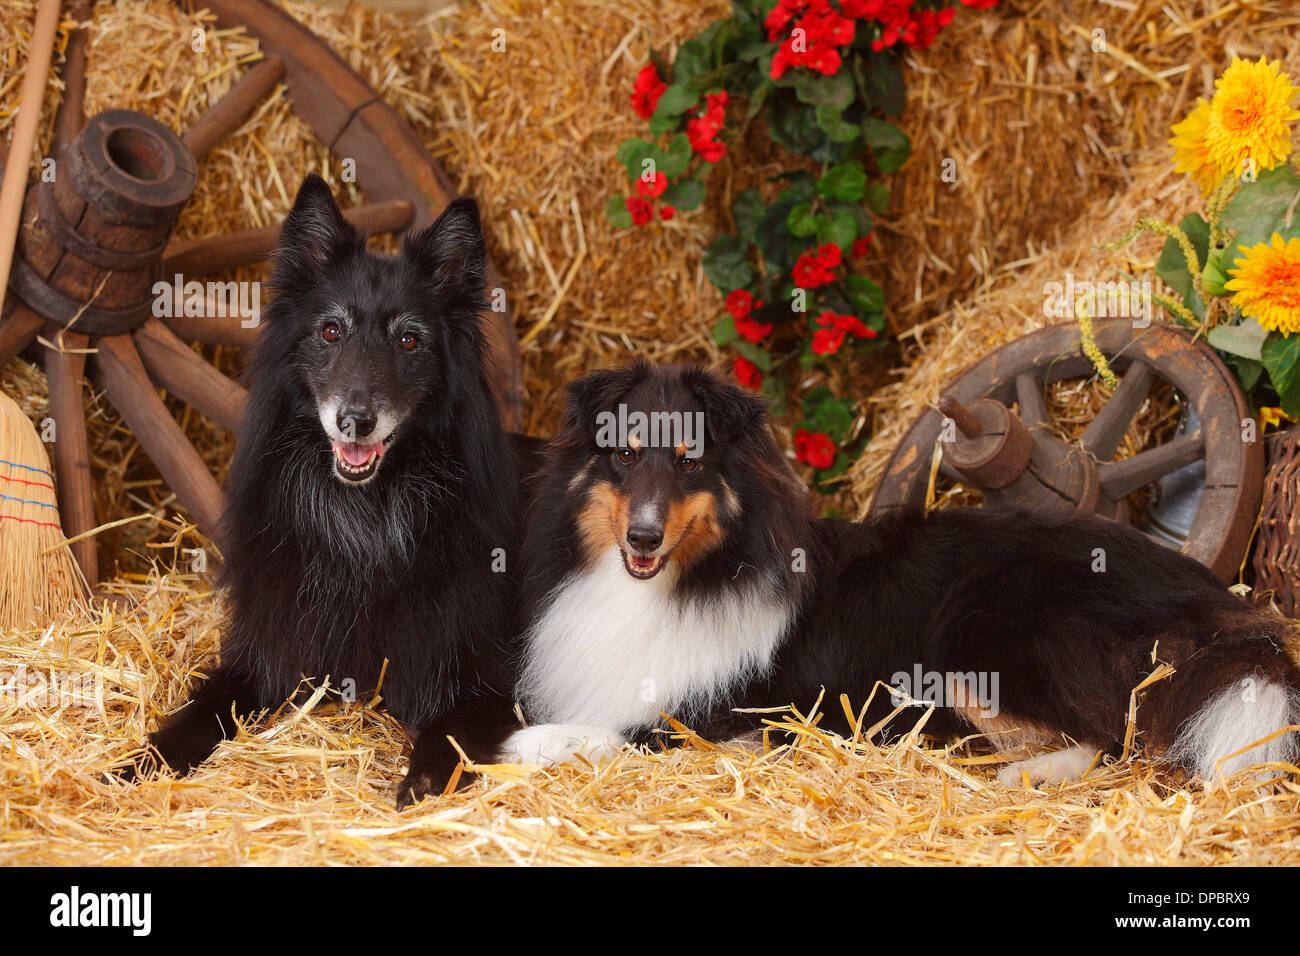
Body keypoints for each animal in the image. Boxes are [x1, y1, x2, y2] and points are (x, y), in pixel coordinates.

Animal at [141, 174, 522, 806]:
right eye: (330, 331)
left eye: (409, 342)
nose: (354, 421)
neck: (364, 521)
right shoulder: (262, 659)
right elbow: (196, 714)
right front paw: (136, 766)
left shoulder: (484, 682)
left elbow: (446, 734)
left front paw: (420, 783)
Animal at [496, 361, 1300, 790]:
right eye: (625, 455)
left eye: (690, 462)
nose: (643, 537)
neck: (681, 582)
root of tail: (1215, 602)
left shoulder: (747, 718)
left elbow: (617, 731)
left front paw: (518, 749)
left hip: (979, 635)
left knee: (1111, 736)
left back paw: (1021, 774)